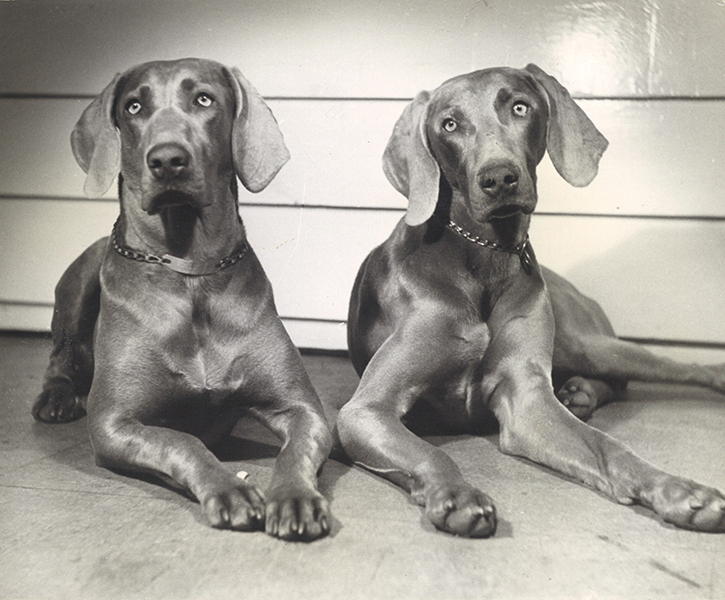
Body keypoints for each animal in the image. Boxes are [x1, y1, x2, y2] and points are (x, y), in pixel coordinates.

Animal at [31, 58, 330, 540]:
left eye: (204, 99)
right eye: (134, 106)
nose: (167, 159)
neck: (190, 272)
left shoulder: (302, 408)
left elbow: (296, 449)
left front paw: (295, 497)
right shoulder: (114, 422)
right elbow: (182, 441)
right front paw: (230, 488)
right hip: (80, 277)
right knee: (61, 354)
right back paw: (57, 398)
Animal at [340, 65, 724, 540]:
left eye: (520, 107)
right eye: (449, 125)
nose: (498, 178)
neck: (485, 255)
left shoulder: (526, 398)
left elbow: (609, 447)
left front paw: (677, 489)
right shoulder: (364, 410)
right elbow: (431, 452)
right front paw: (457, 495)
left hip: (587, 343)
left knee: (677, 369)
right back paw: (580, 393)